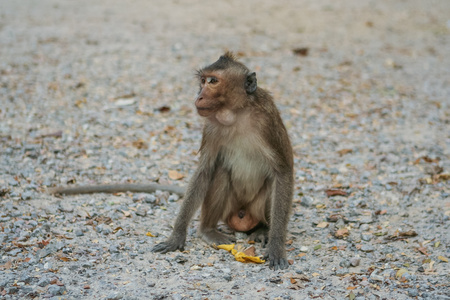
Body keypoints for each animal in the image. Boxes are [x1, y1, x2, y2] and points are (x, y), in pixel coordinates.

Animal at [152, 51, 296, 270]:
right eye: (202, 81)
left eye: (213, 81)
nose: (199, 95)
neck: (237, 115)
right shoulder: (211, 128)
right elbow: (204, 172)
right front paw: (176, 236)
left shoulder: (267, 121)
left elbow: (283, 171)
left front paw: (276, 247)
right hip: (230, 209)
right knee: (219, 172)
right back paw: (208, 230)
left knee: (274, 181)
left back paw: (264, 229)